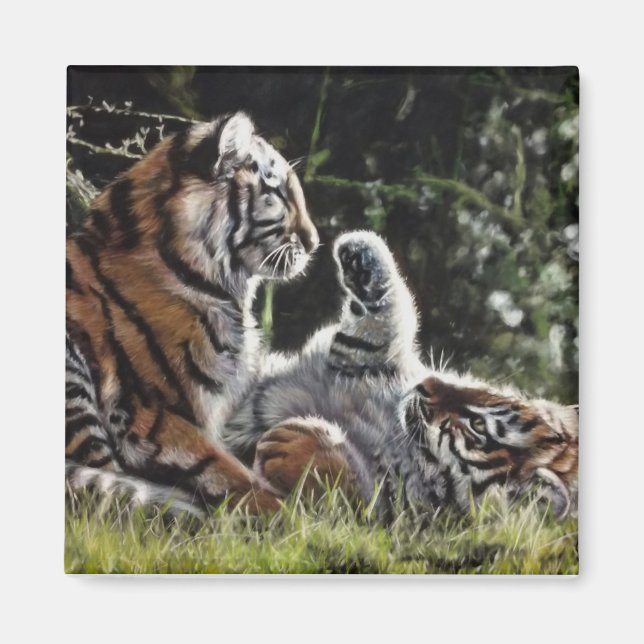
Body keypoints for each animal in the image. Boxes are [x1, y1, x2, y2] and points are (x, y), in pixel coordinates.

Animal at [226, 231, 578, 519]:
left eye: (477, 426)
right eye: (486, 393)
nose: (426, 385)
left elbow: (352, 492)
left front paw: (297, 451)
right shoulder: (370, 363)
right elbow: (390, 320)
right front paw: (362, 255)